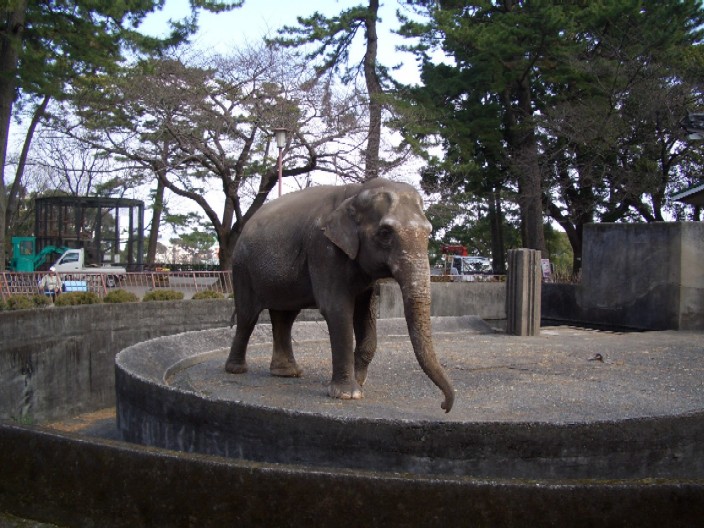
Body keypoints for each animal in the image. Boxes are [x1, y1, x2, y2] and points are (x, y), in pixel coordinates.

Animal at [226, 177, 456, 412]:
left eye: (428, 232)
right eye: (385, 233)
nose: (444, 406)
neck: (357, 191)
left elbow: (365, 314)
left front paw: (359, 382)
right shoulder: (323, 249)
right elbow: (337, 309)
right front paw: (348, 394)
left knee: (285, 316)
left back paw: (287, 373)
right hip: (241, 267)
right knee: (248, 316)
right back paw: (236, 369)